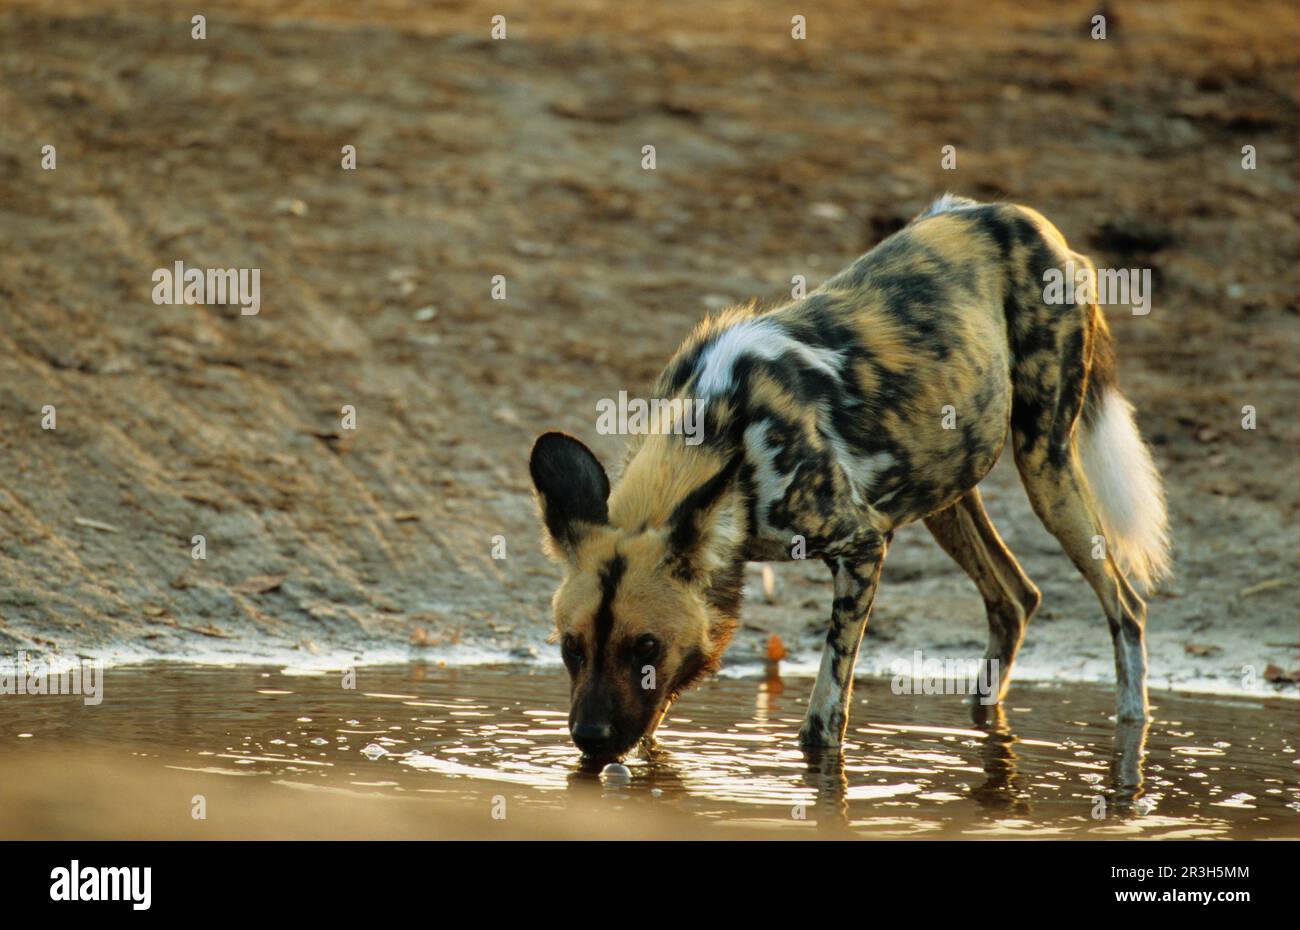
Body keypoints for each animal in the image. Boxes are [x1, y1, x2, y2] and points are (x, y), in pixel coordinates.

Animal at [527, 195, 1170, 754]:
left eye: (646, 646)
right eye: (570, 648)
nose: (589, 738)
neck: (720, 433)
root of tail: (1024, 218)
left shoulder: (862, 545)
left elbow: (824, 716)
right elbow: (656, 719)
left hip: (1045, 468)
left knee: (1126, 608)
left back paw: (1130, 735)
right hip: (947, 490)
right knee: (1015, 597)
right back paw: (985, 724)